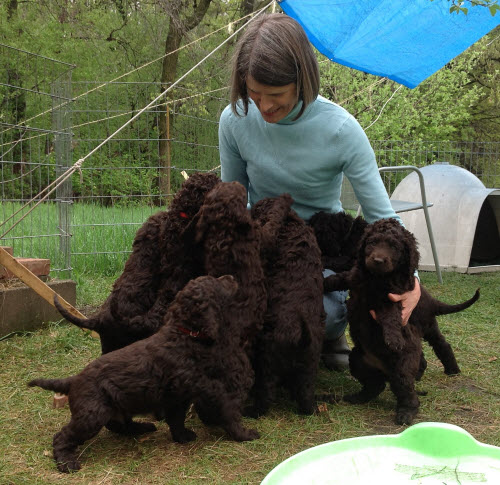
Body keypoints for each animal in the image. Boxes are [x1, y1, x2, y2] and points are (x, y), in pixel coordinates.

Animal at [29, 276, 260, 472]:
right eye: (216, 282)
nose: (232, 277)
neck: (185, 335)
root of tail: (73, 380)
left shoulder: (177, 398)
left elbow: (177, 420)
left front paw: (182, 436)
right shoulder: (197, 384)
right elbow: (224, 402)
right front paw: (244, 433)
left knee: (116, 424)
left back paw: (141, 427)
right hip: (91, 413)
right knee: (63, 436)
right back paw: (66, 462)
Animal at [249, 197, 326, 416]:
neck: (291, 224)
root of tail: (301, 337)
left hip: (267, 358)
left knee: (266, 394)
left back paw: (252, 410)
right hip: (309, 364)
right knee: (306, 396)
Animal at [324, 217, 480, 426]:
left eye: (394, 247)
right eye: (372, 242)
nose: (378, 260)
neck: (375, 278)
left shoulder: (392, 298)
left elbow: (390, 316)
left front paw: (394, 339)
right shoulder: (354, 276)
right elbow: (336, 278)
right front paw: (319, 282)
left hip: (406, 362)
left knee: (409, 389)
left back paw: (407, 412)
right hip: (357, 359)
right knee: (376, 385)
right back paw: (358, 397)